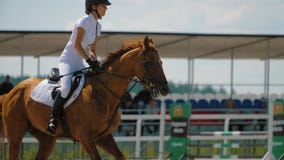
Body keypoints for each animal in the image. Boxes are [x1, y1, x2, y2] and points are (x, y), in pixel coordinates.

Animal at [0, 36, 169, 160]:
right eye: (150, 62)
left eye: (161, 62)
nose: (165, 89)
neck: (102, 94)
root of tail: (11, 92)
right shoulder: (85, 138)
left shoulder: (103, 137)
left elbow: (121, 156)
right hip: (15, 135)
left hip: (47, 139)